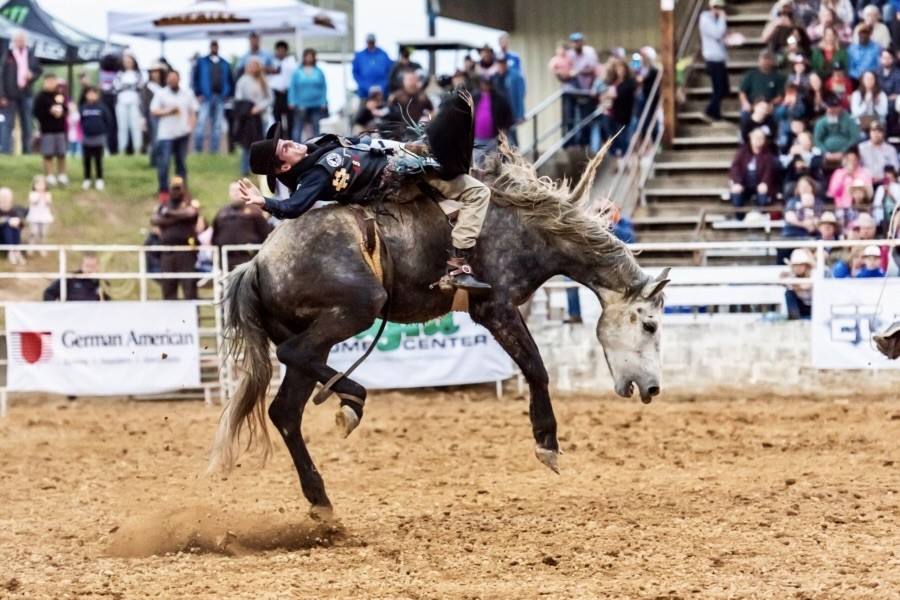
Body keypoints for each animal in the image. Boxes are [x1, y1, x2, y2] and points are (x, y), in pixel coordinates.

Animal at [210, 142, 670, 519]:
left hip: (318, 329)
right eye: (649, 324)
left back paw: (322, 498)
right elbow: (536, 368)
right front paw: (547, 444)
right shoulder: (496, 307)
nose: (652, 389)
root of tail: (258, 263)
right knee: (295, 357)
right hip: (357, 307)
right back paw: (352, 399)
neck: (529, 225)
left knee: (285, 410)